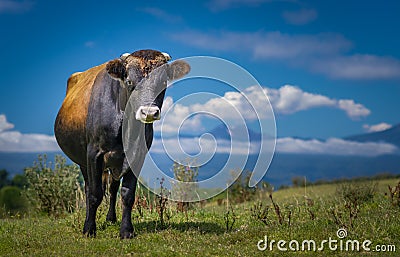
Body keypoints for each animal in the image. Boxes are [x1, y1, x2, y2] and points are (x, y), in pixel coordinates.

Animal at [54, 50, 191, 238]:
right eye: (129, 82)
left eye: (163, 83)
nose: (149, 112)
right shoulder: (94, 154)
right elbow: (95, 194)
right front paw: (89, 228)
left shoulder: (137, 155)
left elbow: (127, 194)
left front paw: (126, 230)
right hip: (83, 160)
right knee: (90, 188)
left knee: (112, 188)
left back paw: (111, 218)